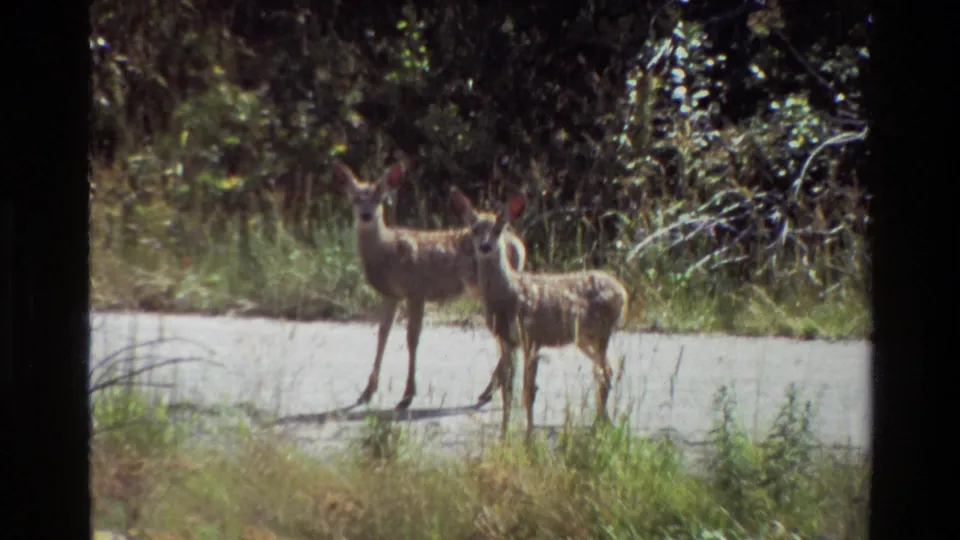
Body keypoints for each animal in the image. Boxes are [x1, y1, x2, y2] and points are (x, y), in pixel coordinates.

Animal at [331, 158, 528, 410]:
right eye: (355, 197)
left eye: (379, 198)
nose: (366, 215)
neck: (387, 250)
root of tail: (519, 246)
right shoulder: (391, 294)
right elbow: (382, 335)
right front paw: (367, 393)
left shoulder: (416, 289)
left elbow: (412, 338)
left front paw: (407, 395)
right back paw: (489, 392)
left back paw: (491, 392)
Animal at [449, 186, 630, 441]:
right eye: (474, 229)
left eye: (498, 229)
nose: (485, 247)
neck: (508, 294)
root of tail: (623, 293)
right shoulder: (506, 341)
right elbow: (508, 390)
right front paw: (504, 433)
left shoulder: (532, 337)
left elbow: (528, 391)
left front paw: (528, 436)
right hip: (584, 338)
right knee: (607, 371)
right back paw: (600, 422)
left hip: (602, 331)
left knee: (604, 372)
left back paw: (599, 425)